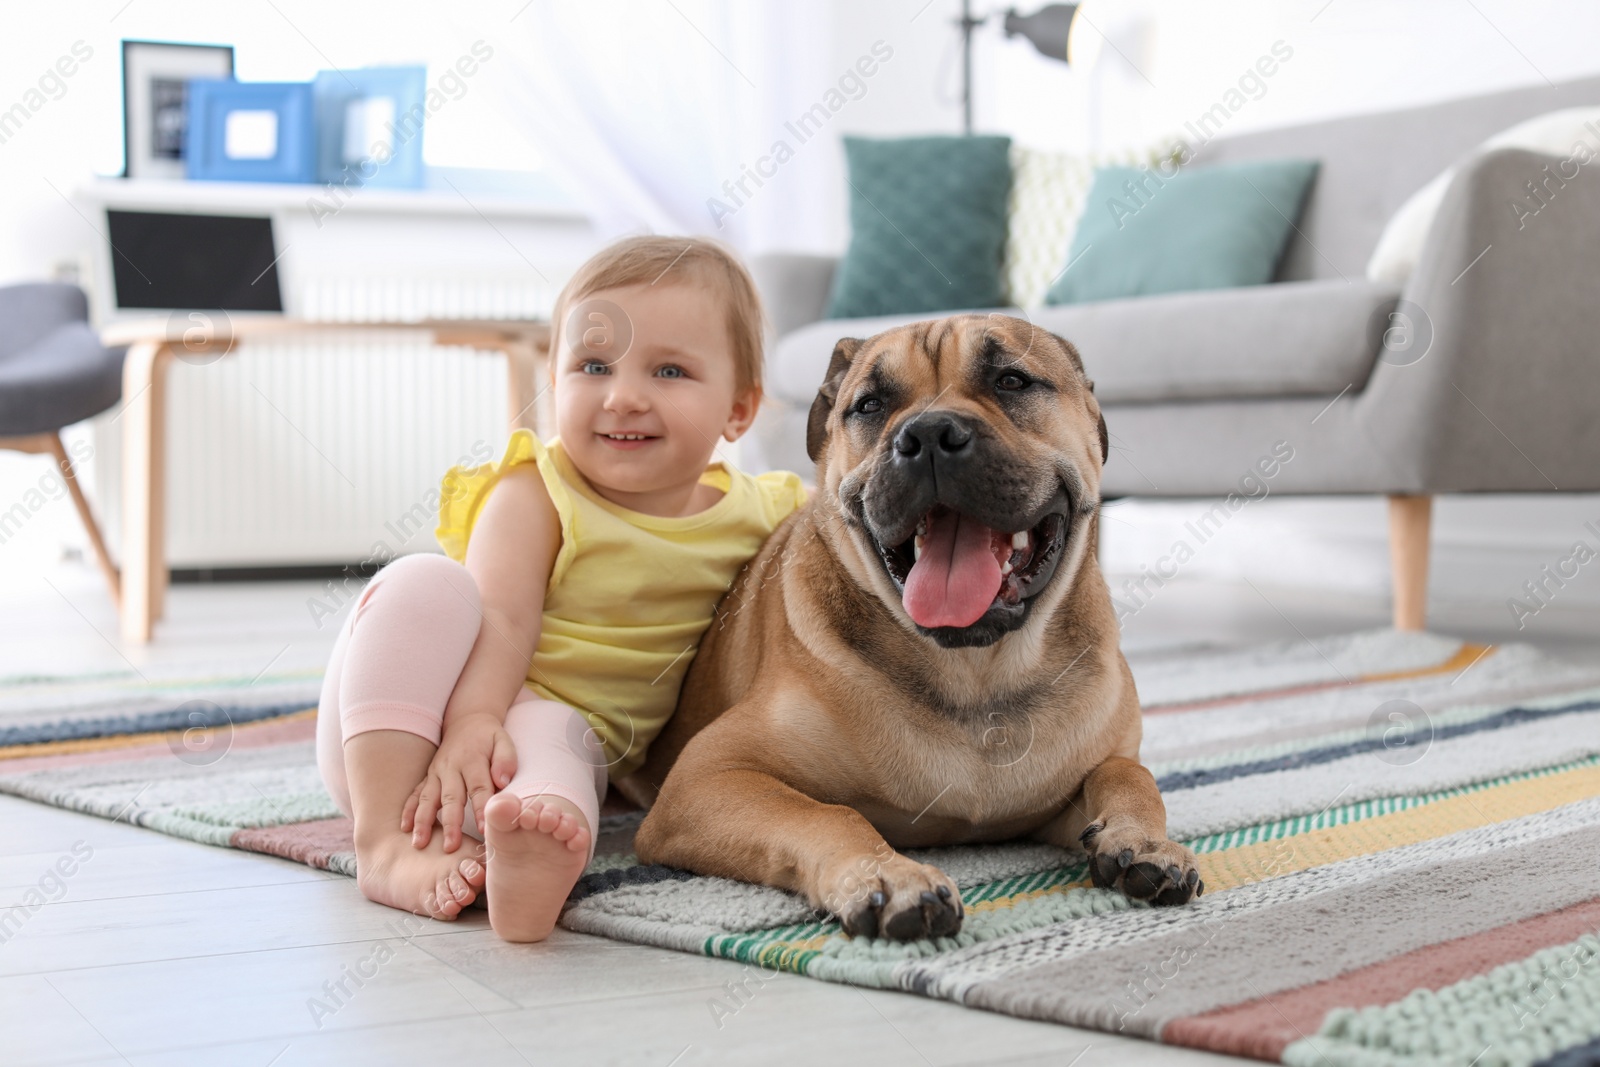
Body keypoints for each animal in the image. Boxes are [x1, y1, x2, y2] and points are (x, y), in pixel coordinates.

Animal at [620, 313, 1203, 940]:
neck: (977, 673)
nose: (928, 434)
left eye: (1012, 380)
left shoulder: (1065, 791)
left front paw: (1145, 842)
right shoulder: (707, 778)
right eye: (870, 404)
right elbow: (829, 814)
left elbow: (1128, 774)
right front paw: (888, 878)